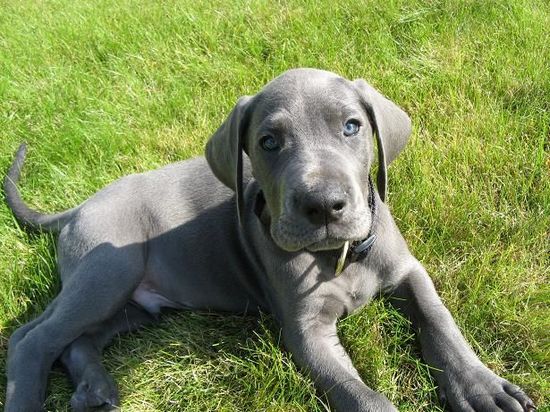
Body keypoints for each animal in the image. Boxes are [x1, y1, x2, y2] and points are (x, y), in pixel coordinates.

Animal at [4, 69, 535, 411]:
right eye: (268, 142)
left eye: (352, 126)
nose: (323, 206)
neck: (338, 258)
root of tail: (77, 208)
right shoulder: (305, 330)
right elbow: (366, 400)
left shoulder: (409, 271)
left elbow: (440, 321)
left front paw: (480, 386)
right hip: (109, 267)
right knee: (31, 338)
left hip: (131, 303)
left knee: (75, 340)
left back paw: (95, 389)